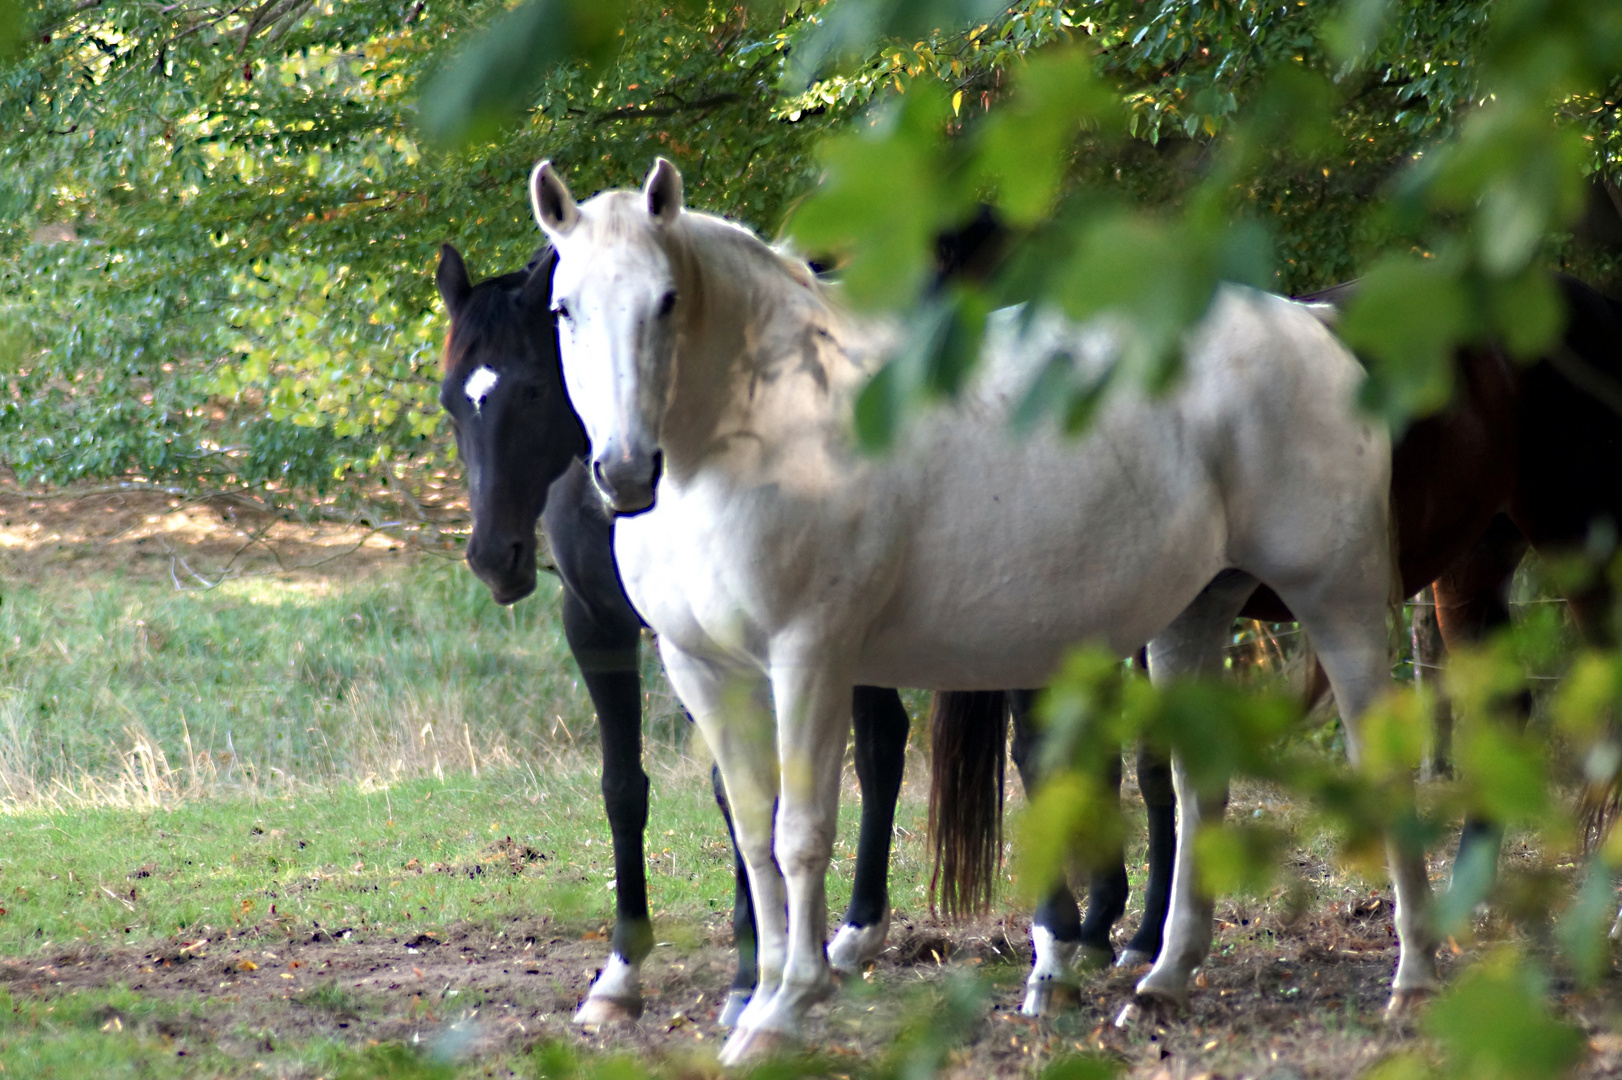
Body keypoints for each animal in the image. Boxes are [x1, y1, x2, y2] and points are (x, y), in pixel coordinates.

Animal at [434, 246, 914, 1024]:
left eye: (534, 390)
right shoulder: (595, 627)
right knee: (882, 741)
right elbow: (623, 788)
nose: (492, 557)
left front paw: (749, 977)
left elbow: (736, 791)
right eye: (452, 399)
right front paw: (619, 974)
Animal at [525, 159, 1440, 1057]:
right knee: (1195, 785)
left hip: (1340, 599)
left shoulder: (809, 657)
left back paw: (1415, 980)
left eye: (667, 300)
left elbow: (801, 833)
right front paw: (759, 998)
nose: (623, 472)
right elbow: (754, 833)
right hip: (1194, 617)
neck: (757, 433)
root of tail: (1315, 324)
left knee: (1382, 764)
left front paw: (785, 1008)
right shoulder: (703, 669)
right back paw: (1163, 984)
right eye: (564, 309)